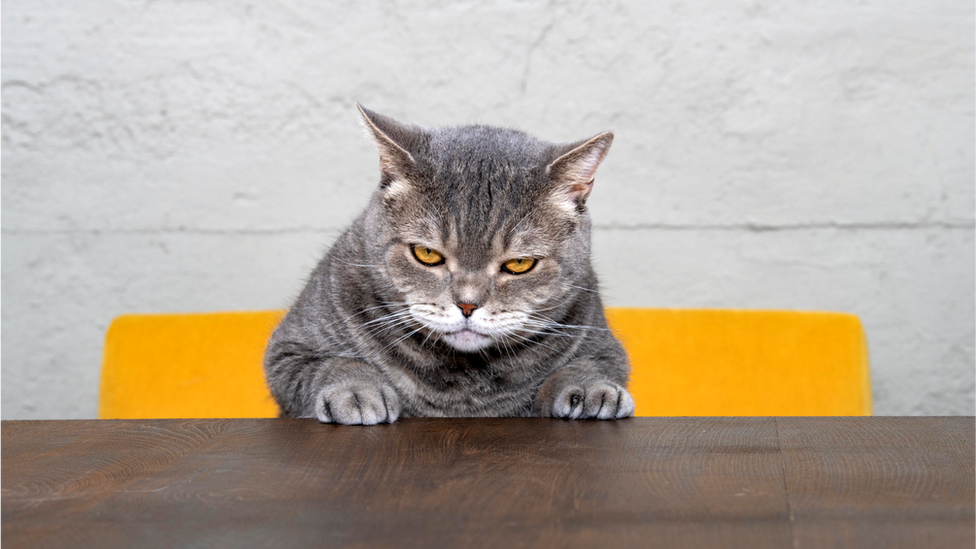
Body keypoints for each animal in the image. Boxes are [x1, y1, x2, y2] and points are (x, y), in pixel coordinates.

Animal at [264, 106, 636, 424]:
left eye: (519, 263)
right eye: (427, 254)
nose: (467, 305)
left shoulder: (603, 346)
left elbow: (587, 366)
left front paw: (590, 388)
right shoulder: (289, 349)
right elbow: (333, 364)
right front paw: (356, 391)